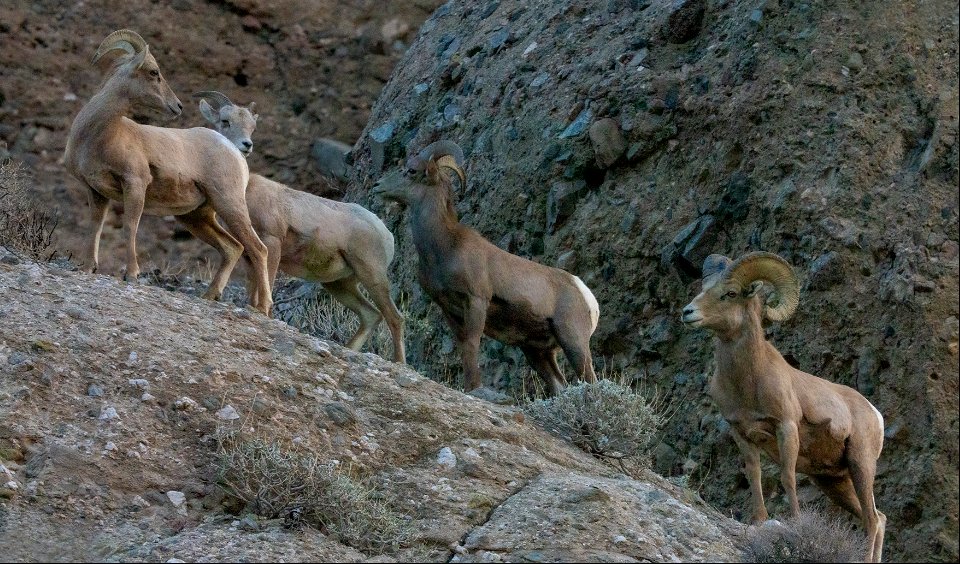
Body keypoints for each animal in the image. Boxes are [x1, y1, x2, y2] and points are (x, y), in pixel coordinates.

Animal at [62, 30, 274, 316]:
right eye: (154, 72)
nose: (178, 106)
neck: (99, 135)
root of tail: (234, 151)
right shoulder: (96, 192)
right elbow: (95, 227)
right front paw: (87, 268)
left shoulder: (135, 184)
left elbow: (130, 226)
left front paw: (132, 275)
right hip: (196, 217)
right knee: (234, 248)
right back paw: (210, 295)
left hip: (230, 205)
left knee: (258, 249)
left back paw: (262, 308)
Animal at [195, 88, 404, 362]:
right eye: (225, 121)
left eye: (252, 127)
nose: (246, 145)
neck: (248, 188)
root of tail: (386, 233)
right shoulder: (250, 255)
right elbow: (253, 286)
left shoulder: (271, 242)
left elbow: (266, 281)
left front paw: (263, 311)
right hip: (340, 283)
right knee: (371, 315)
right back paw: (350, 349)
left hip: (372, 275)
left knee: (394, 317)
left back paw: (399, 363)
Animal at [372, 140, 596, 394]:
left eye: (411, 171)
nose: (378, 186)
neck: (444, 248)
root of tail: (583, 292)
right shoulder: (448, 308)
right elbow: (463, 345)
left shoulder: (476, 301)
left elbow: (472, 344)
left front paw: (474, 387)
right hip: (537, 352)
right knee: (559, 385)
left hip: (573, 341)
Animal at [684, 253, 884, 560]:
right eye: (703, 288)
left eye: (730, 294)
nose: (688, 312)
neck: (748, 383)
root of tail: (875, 414)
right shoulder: (741, 434)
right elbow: (754, 474)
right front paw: (759, 520)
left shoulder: (786, 428)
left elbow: (788, 477)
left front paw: (797, 522)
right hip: (834, 482)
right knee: (877, 517)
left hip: (860, 465)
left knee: (872, 520)